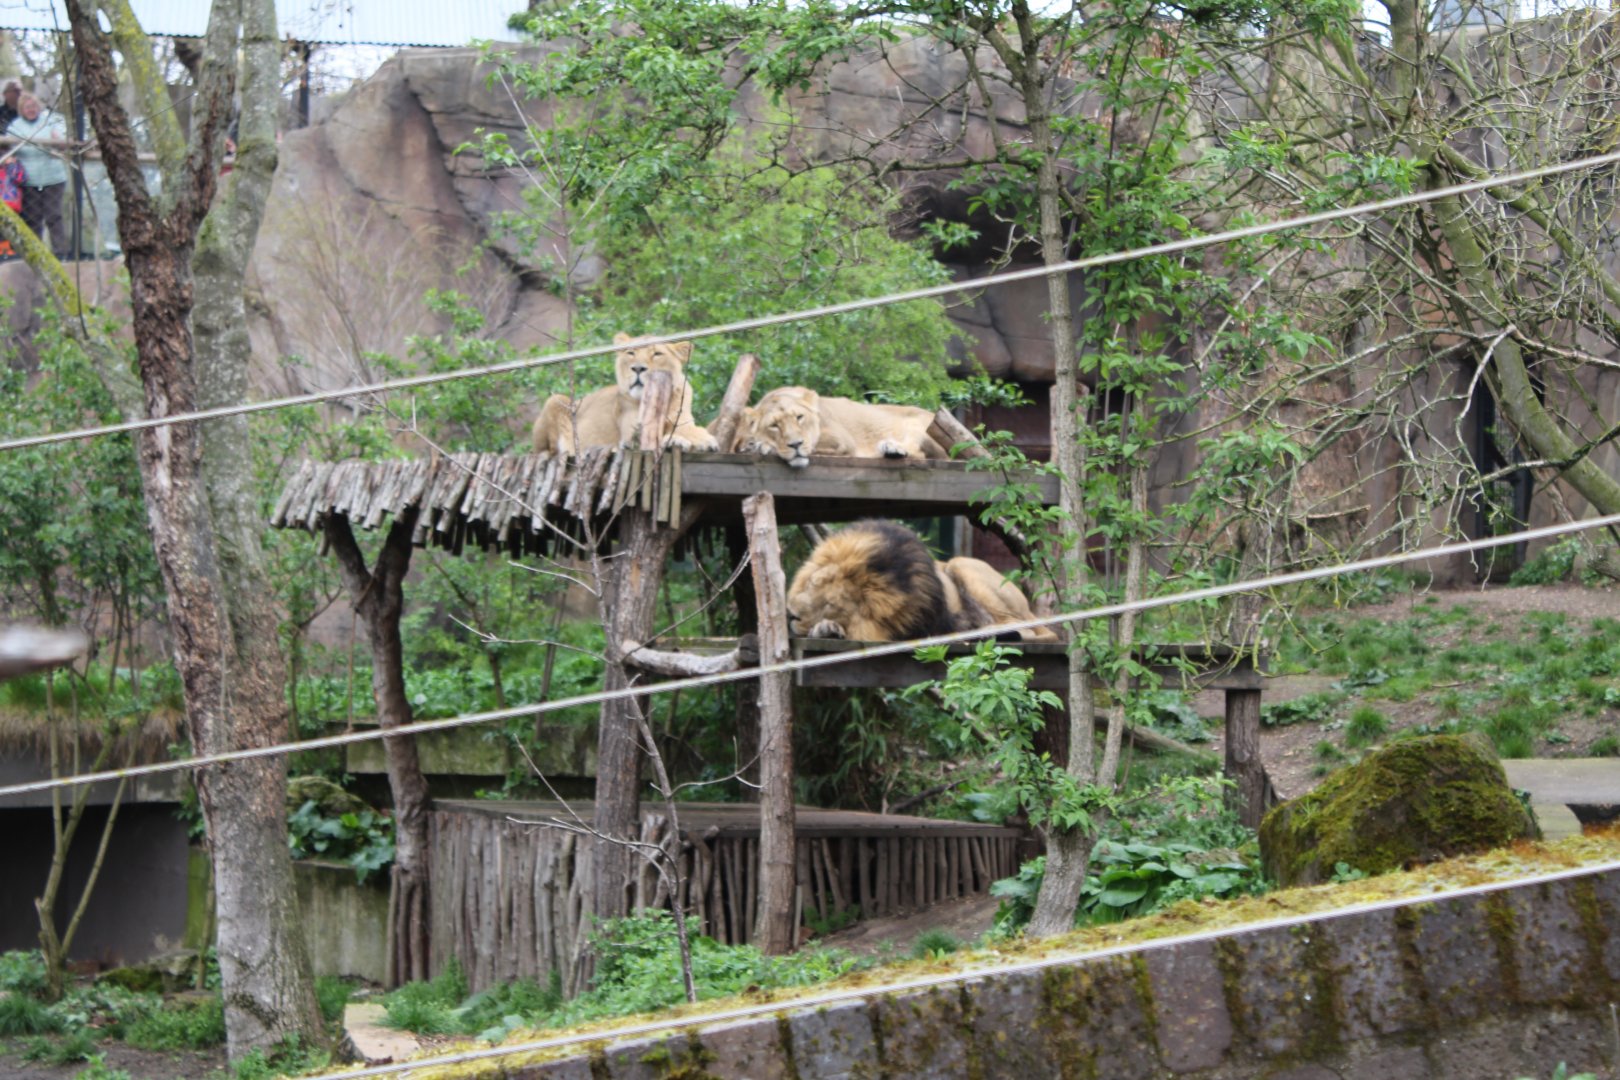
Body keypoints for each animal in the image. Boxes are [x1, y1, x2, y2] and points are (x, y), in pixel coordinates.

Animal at [532, 333, 718, 455]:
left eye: (657, 353)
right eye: (631, 353)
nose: (638, 368)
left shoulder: (682, 420)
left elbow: (692, 430)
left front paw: (704, 441)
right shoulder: (632, 434)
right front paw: (675, 440)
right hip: (555, 400)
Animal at [731, 387, 946, 468]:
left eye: (799, 417)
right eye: (774, 425)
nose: (796, 445)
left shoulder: (842, 440)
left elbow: (813, 445)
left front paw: (762, 446)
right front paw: (754, 444)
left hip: (917, 425)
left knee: (920, 454)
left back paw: (891, 448)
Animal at [786, 521, 1058, 643]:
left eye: (831, 606)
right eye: (814, 583)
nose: (790, 615)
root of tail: (1031, 610)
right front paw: (827, 629)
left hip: (962, 565)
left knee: (1022, 628)